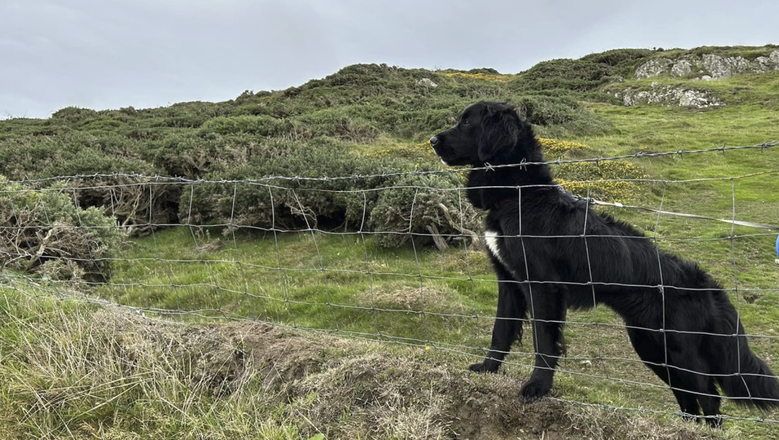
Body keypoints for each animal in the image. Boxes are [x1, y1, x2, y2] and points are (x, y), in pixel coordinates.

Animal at [432, 100, 779, 426]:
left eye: (467, 122)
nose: (432, 140)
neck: (519, 195)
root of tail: (710, 288)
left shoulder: (543, 287)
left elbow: (544, 342)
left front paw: (537, 387)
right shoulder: (509, 282)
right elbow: (500, 331)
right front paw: (487, 369)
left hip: (680, 352)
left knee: (709, 398)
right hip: (652, 348)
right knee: (690, 400)